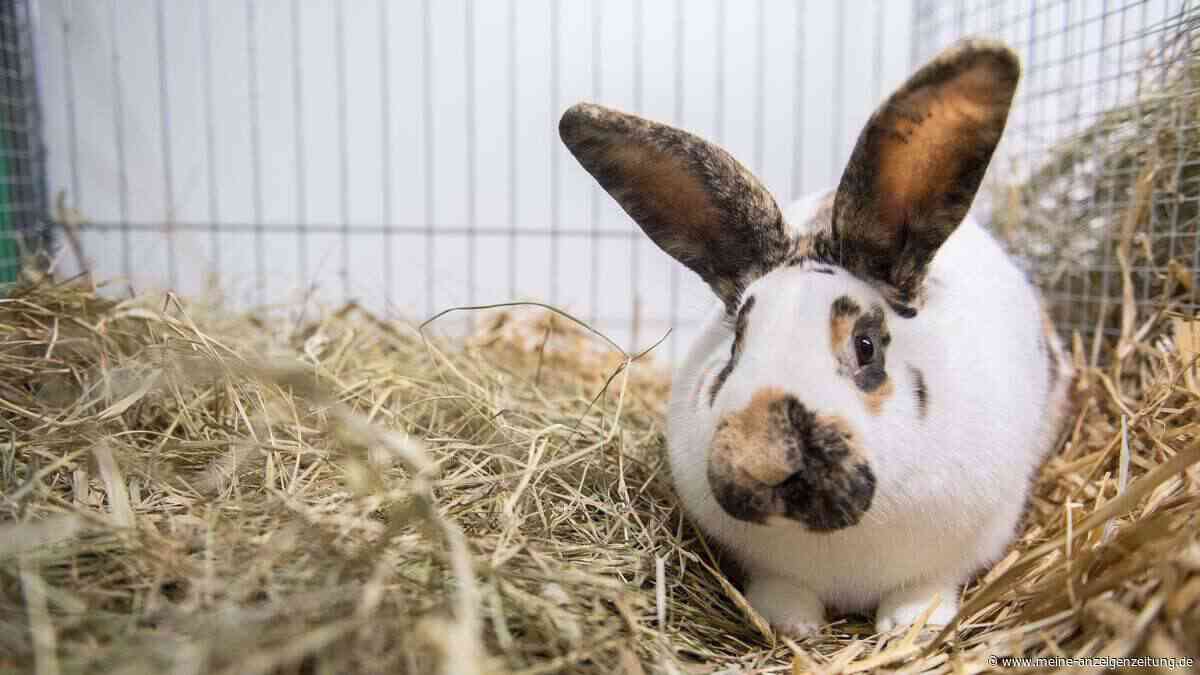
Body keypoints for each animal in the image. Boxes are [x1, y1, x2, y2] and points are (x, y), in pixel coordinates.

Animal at [558, 38, 1074, 637]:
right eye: (736, 342)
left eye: (866, 345)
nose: (760, 461)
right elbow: (784, 591)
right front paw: (793, 624)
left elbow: (926, 586)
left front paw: (908, 624)